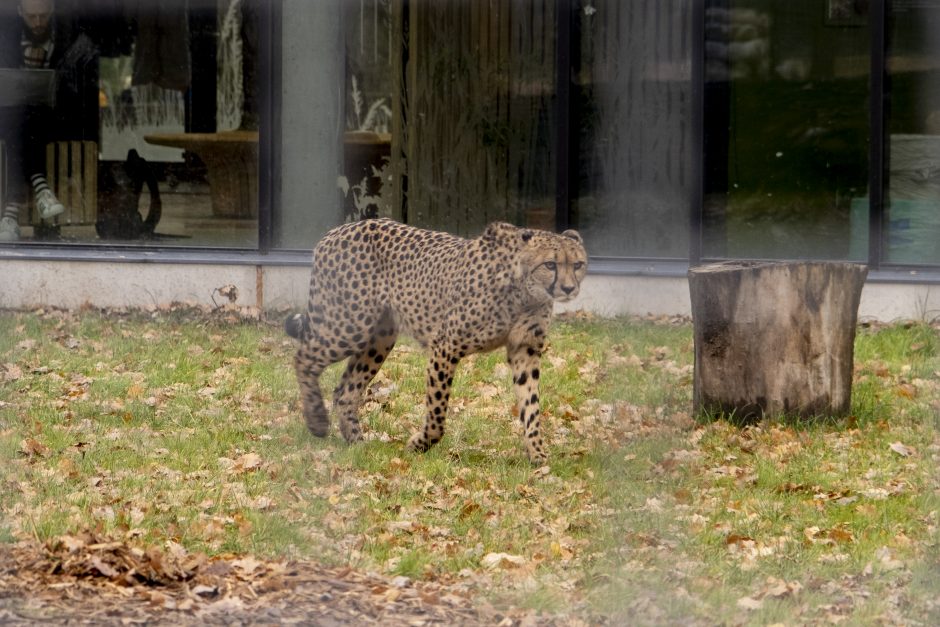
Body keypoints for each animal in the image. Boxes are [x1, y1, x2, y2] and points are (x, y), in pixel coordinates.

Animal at [286, 218, 584, 464]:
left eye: (578, 265)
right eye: (550, 265)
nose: (569, 288)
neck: (525, 291)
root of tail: (336, 231)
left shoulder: (525, 349)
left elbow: (531, 404)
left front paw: (538, 453)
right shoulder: (445, 346)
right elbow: (438, 412)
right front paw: (419, 444)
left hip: (379, 338)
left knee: (345, 390)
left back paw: (357, 443)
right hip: (349, 325)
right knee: (303, 358)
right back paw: (317, 421)